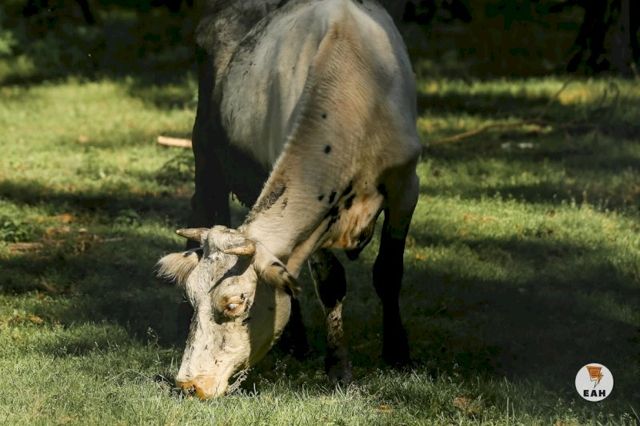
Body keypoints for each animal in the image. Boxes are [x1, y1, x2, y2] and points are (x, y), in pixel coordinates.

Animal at [157, 0, 420, 399]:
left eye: (235, 303)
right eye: (191, 297)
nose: (189, 384)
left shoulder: (406, 186)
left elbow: (388, 271)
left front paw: (398, 354)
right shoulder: (321, 217)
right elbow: (330, 282)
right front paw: (339, 368)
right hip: (206, 157)